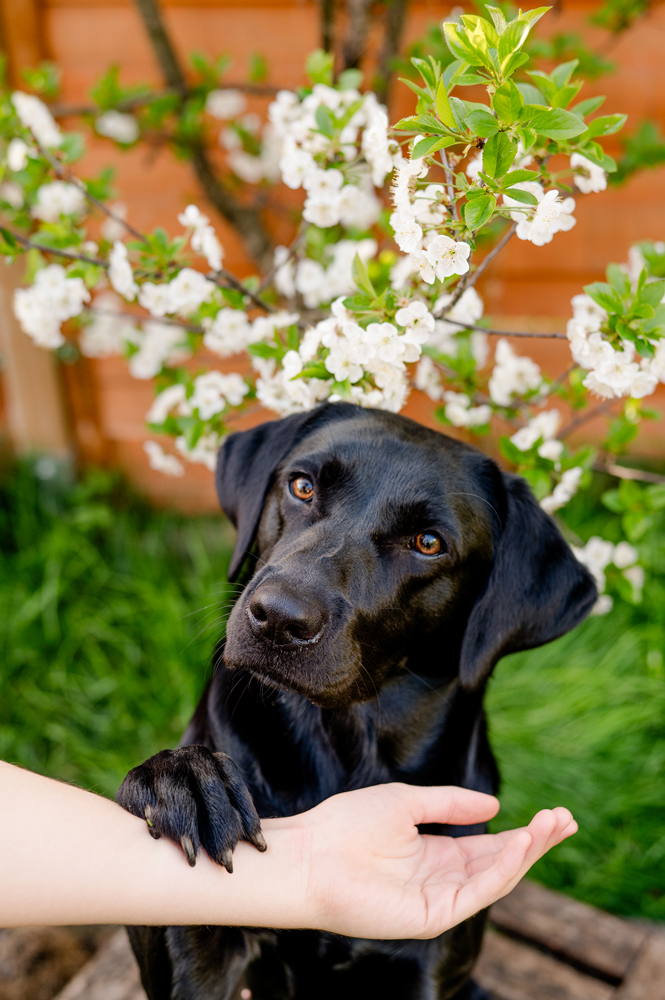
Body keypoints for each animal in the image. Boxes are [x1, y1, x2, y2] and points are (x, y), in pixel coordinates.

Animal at [117, 402, 597, 1000]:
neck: (344, 744)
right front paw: (184, 780)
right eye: (302, 486)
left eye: (428, 542)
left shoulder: (424, 966)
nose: (278, 617)